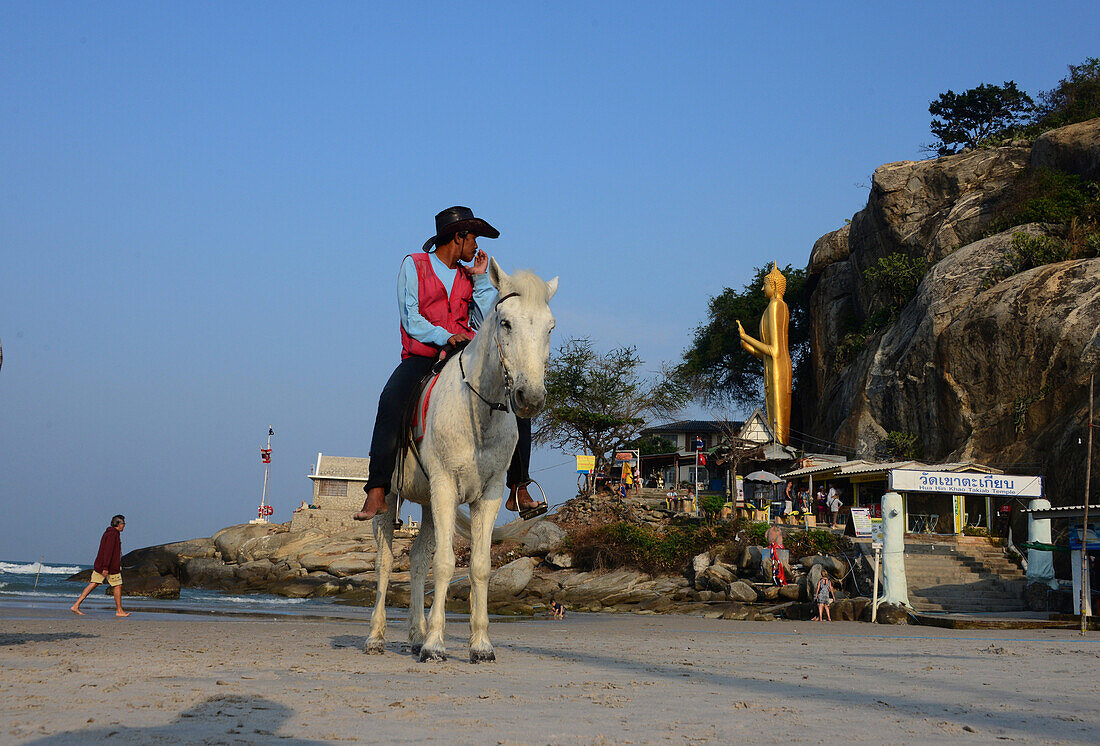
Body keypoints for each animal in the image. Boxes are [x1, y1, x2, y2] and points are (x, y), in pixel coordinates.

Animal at [367, 259, 554, 664]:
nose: (529, 397)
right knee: (386, 562)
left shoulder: (488, 494)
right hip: (390, 500)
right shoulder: (444, 487)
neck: (479, 413)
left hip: (427, 504)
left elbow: (479, 567)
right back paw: (376, 637)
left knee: (417, 559)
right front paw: (436, 645)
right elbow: (445, 564)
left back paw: (415, 635)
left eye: (550, 327)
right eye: (506, 323)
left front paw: (480, 645)